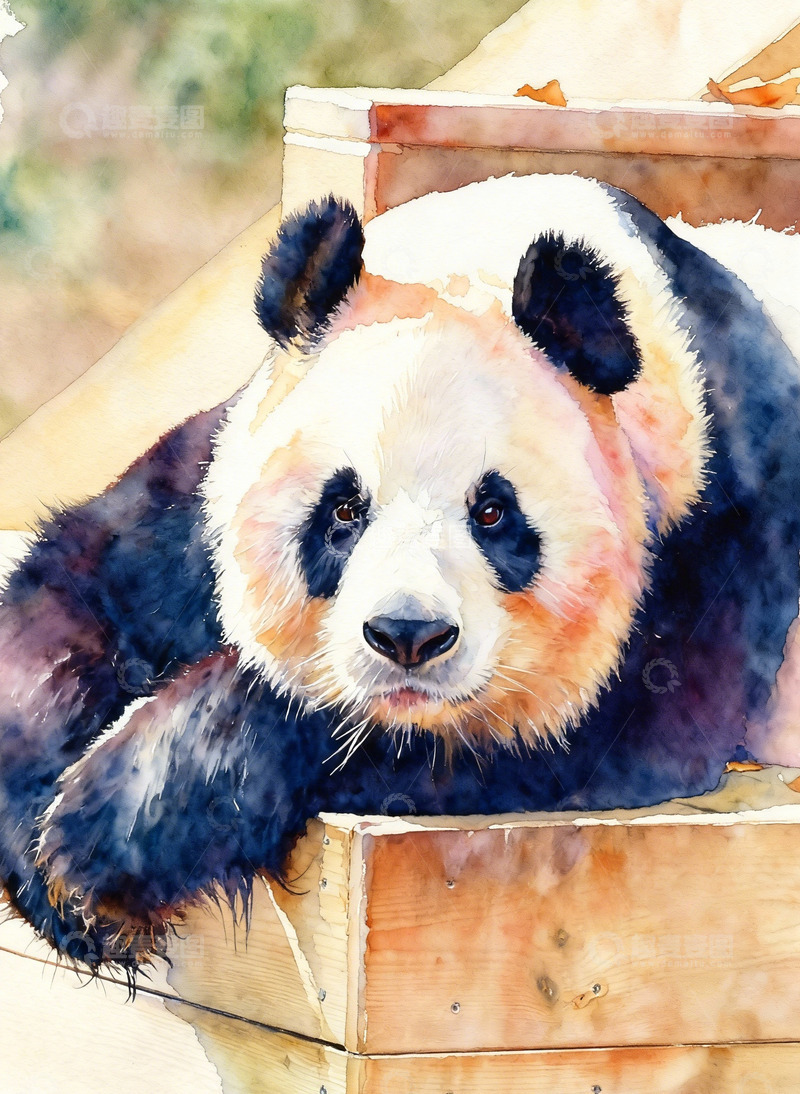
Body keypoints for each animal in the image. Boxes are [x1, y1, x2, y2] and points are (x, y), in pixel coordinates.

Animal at [2, 172, 800, 972]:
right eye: (344, 508)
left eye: (492, 512)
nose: (408, 637)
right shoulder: (210, 482)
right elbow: (86, 586)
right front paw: (48, 863)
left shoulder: (713, 526)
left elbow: (571, 735)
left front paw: (110, 838)